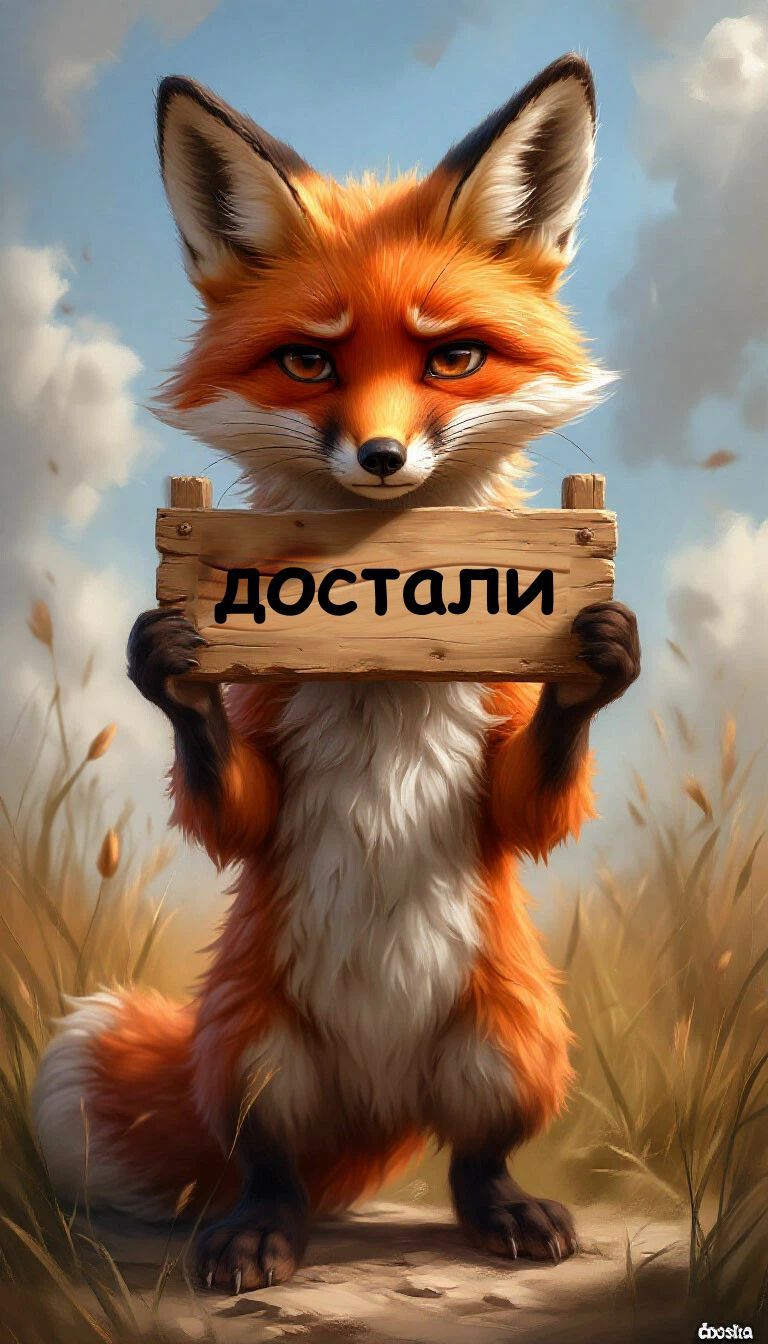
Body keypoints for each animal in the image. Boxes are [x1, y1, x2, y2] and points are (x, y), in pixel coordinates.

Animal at [33, 55, 640, 1293]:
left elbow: (533, 807)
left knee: (474, 1158)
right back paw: (260, 1233)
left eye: (453, 356)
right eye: (310, 360)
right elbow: (231, 810)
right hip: (253, 1054)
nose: (382, 457)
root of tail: (379, 1098)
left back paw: (503, 1210)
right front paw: (172, 662)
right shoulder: (266, 729)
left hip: (511, 1043)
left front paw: (598, 655)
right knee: (271, 1165)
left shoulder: (499, 734)